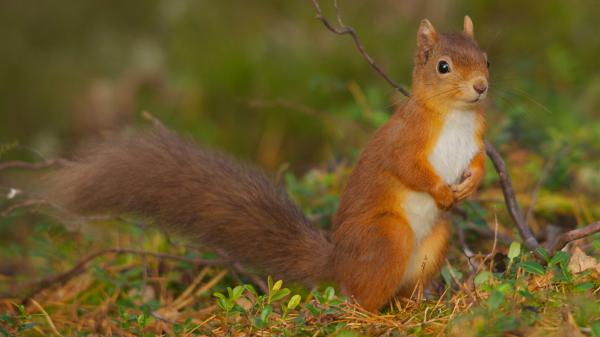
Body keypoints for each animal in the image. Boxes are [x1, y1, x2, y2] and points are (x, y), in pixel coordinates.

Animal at [45, 15, 488, 310]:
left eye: (485, 58)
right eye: (443, 66)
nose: (482, 87)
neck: (455, 117)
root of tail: (337, 264)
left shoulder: (477, 139)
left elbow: (479, 162)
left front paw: (469, 185)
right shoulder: (405, 141)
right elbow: (407, 168)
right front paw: (440, 190)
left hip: (435, 241)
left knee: (406, 287)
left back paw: (420, 304)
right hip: (387, 237)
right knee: (360, 299)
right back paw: (376, 317)